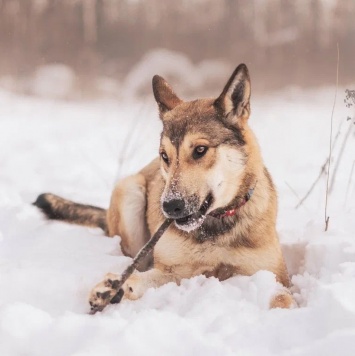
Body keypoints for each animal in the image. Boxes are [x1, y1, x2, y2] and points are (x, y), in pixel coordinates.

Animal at [34, 64, 294, 312]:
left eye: (200, 150)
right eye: (165, 156)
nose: (170, 206)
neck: (216, 226)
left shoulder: (274, 276)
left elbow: (283, 298)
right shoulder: (175, 270)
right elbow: (141, 277)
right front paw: (113, 287)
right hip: (130, 191)